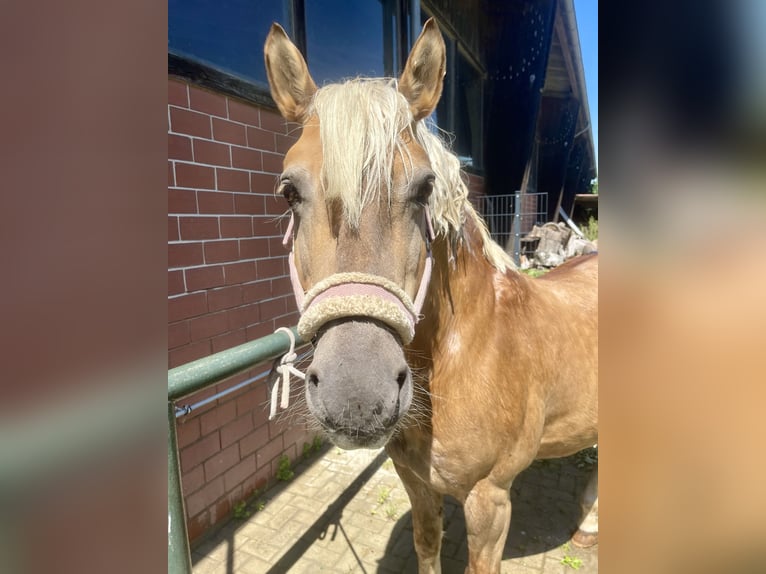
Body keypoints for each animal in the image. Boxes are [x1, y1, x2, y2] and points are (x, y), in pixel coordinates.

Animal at [264, 19, 600, 574]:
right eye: (289, 191)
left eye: (425, 188)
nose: (356, 396)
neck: (465, 352)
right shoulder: (417, 483)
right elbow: (427, 545)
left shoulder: (490, 501)